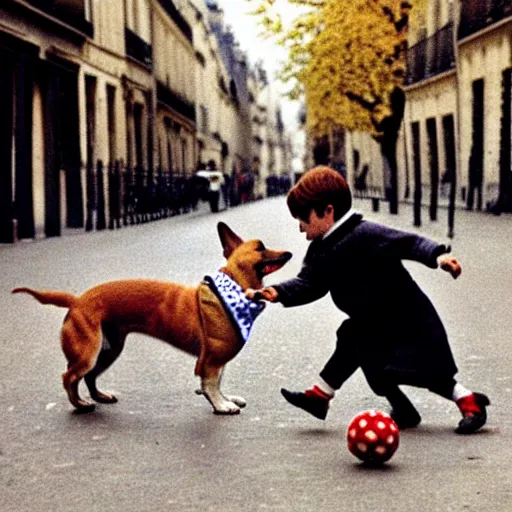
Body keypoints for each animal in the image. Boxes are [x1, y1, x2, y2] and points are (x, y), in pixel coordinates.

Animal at [13, 222, 292, 414]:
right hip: (88, 352)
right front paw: (221, 405)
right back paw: (80, 404)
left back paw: (99, 396)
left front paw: (224, 398)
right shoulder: (212, 359)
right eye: (261, 248)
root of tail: (77, 300)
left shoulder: (217, 359)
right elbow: (211, 383)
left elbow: (217, 381)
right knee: (69, 377)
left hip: (108, 350)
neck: (235, 285)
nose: (288, 253)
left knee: (90, 376)